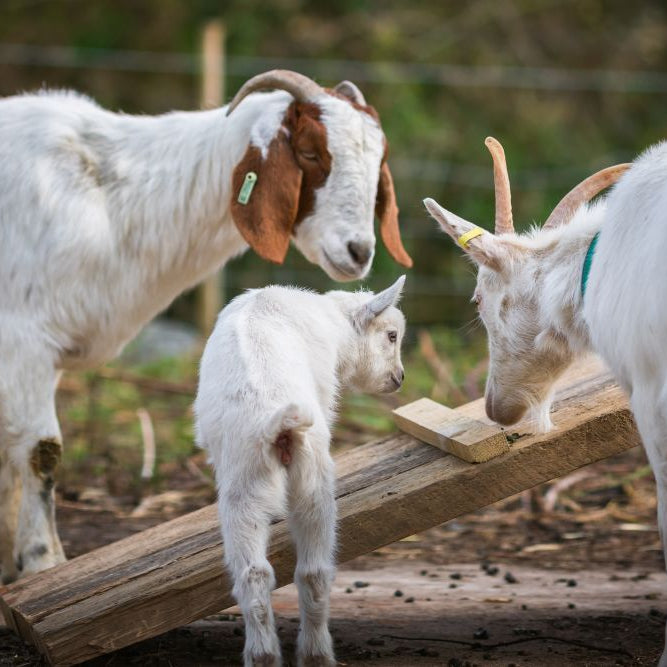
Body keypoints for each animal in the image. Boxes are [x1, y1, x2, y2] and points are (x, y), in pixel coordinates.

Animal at [0, 70, 412, 583]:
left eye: (379, 161)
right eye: (311, 152)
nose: (359, 251)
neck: (110, 203)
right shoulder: (24, 337)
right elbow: (42, 450)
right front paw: (43, 563)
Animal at [194, 276, 406, 667]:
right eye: (391, 335)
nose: (398, 378)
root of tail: (278, 423)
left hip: (248, 484)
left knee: (258, 574)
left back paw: (267, 655)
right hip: (309, 478)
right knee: (313, 571)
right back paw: (314, 654)